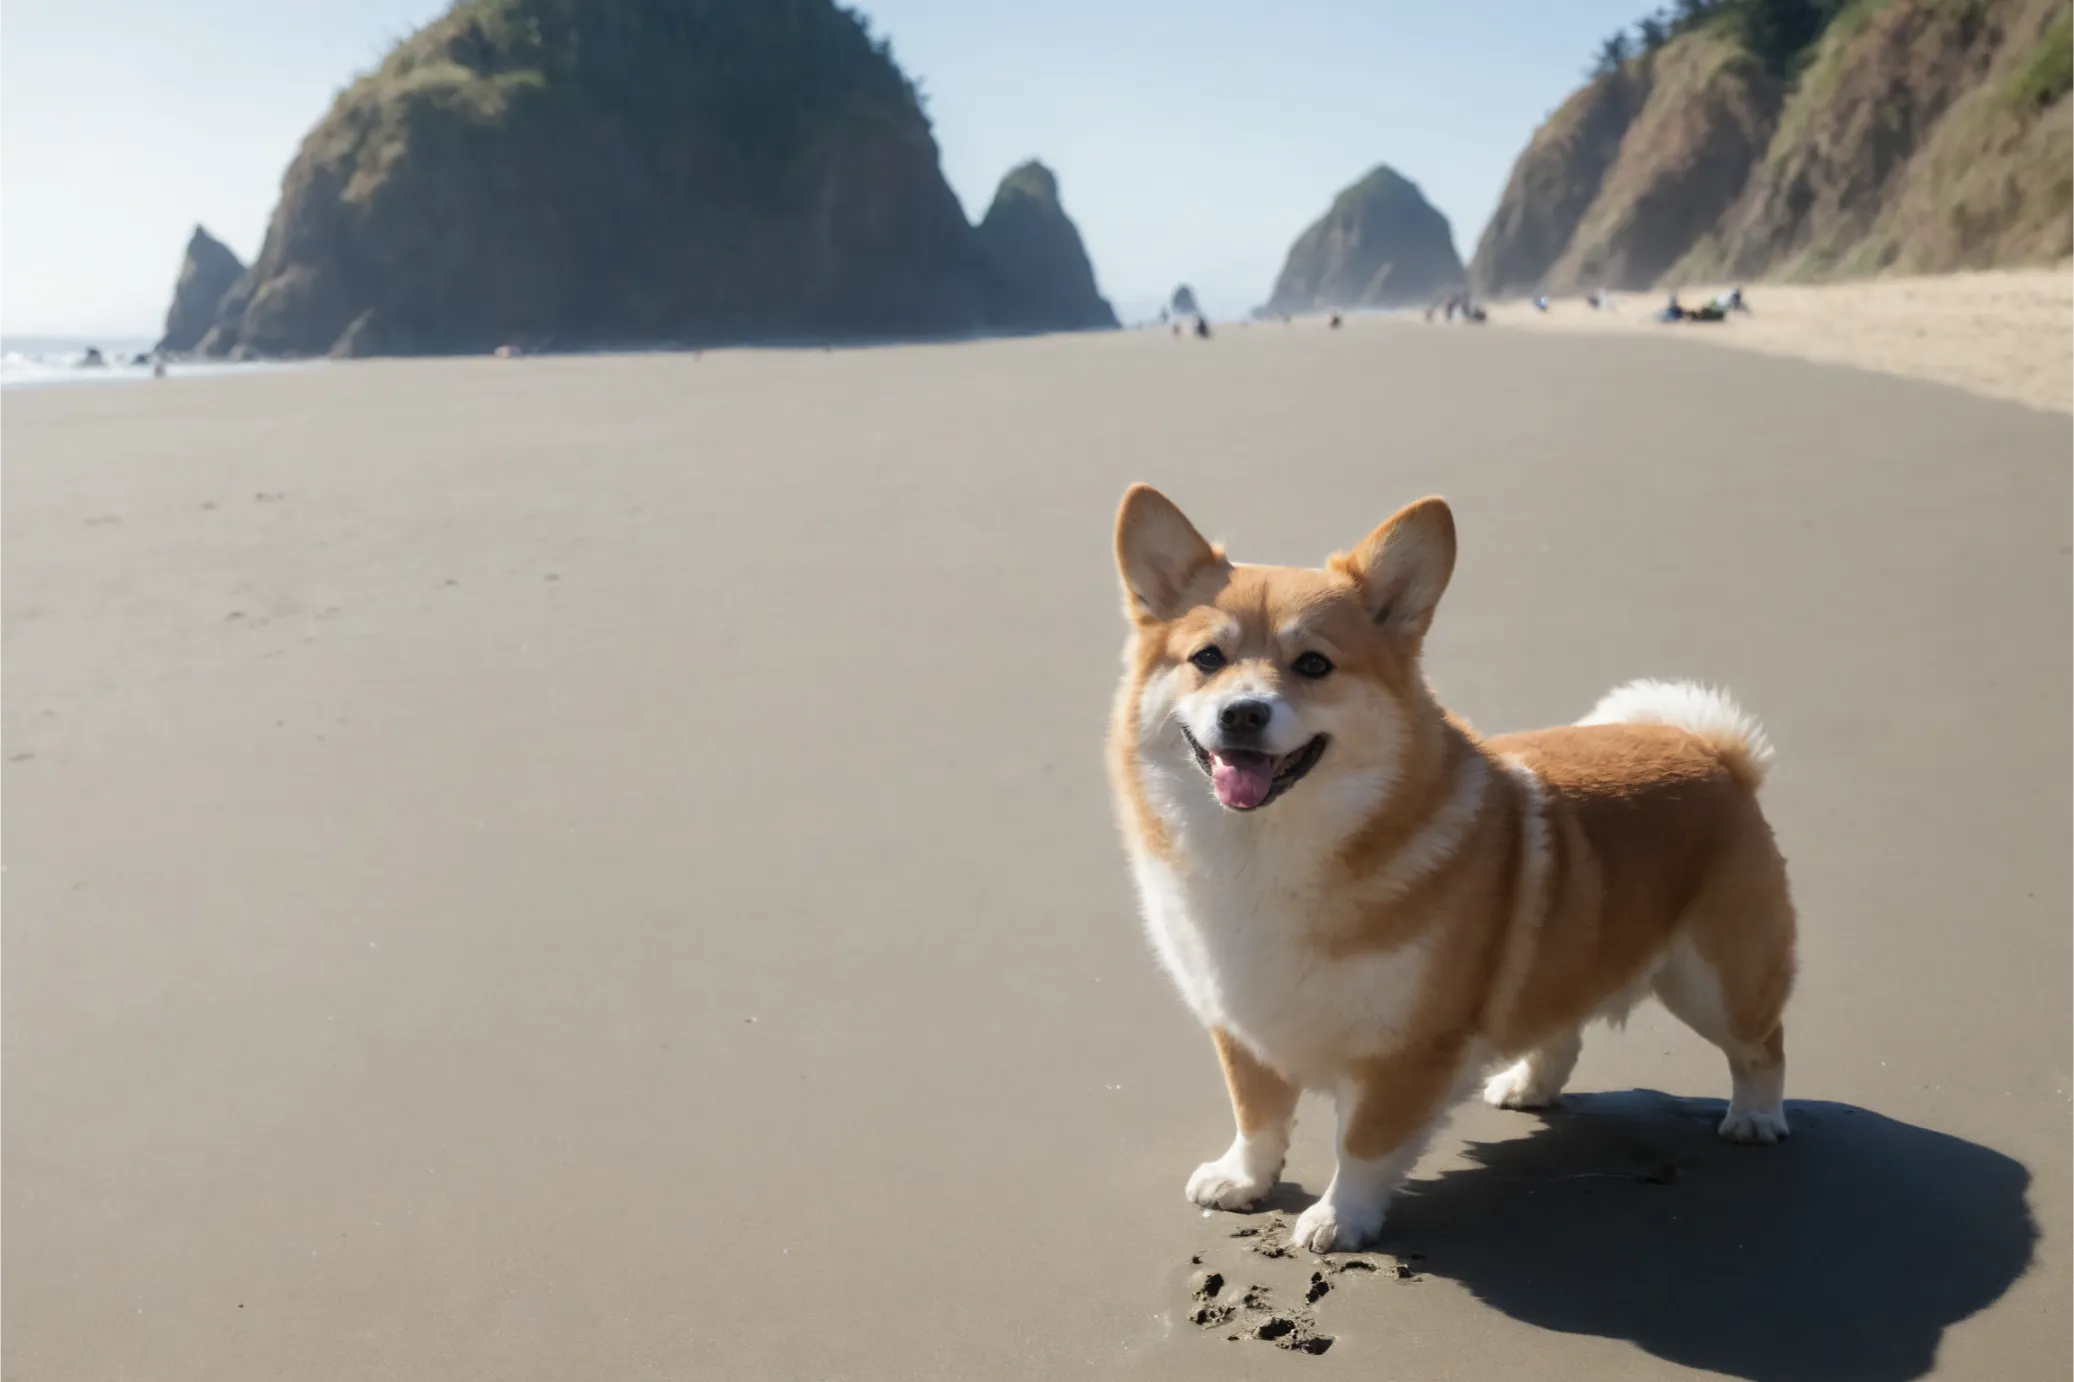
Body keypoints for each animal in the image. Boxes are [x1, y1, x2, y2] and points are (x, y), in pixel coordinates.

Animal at [1103, 483, 1800, 1245]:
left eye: (1313, 664)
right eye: (1207, 659)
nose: (1242, 714)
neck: (1265, 854)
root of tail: (1713, 753)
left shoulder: (1406, 1050)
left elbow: (1364, 1144)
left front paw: (1340, 1220)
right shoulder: (1241, 1027)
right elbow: (1257, 1116)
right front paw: (1243, 1181)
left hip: (1713, 984)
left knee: (1762, 1044)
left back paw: (1755, 1117)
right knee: (1560, 1028)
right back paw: (1527, 1086)